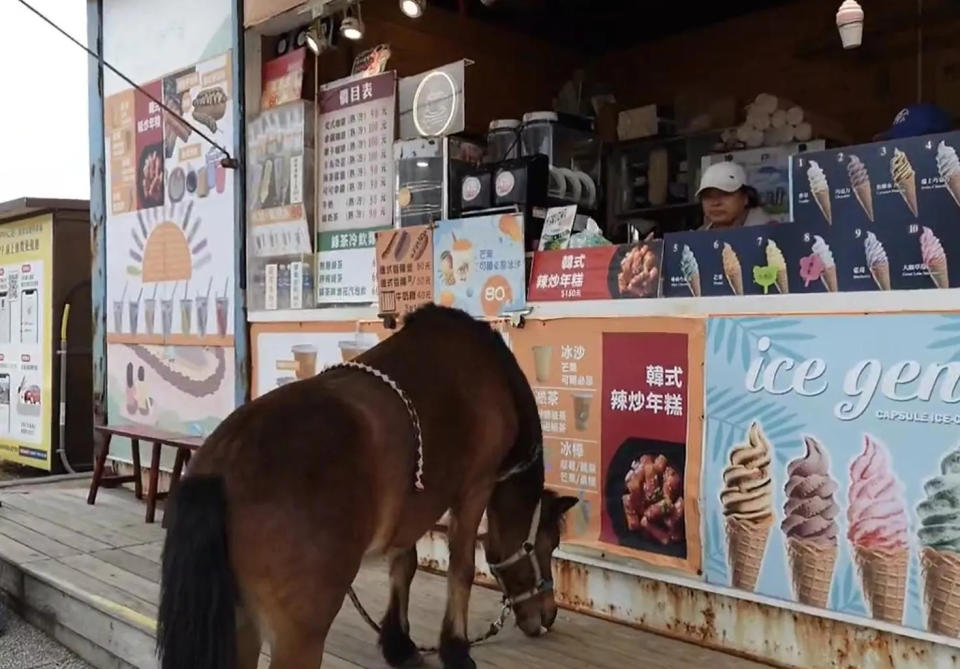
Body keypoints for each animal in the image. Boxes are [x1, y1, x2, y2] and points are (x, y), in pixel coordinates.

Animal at [158, 306, 576, 668]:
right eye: (549, 544)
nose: (548, 614)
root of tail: (224, 464)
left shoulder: (413, 503)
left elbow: (404, 563)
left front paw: (398, 643)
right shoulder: (475, 486)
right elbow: (461, 567)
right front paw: (455, 649)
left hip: (241, 624)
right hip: (297, 636)